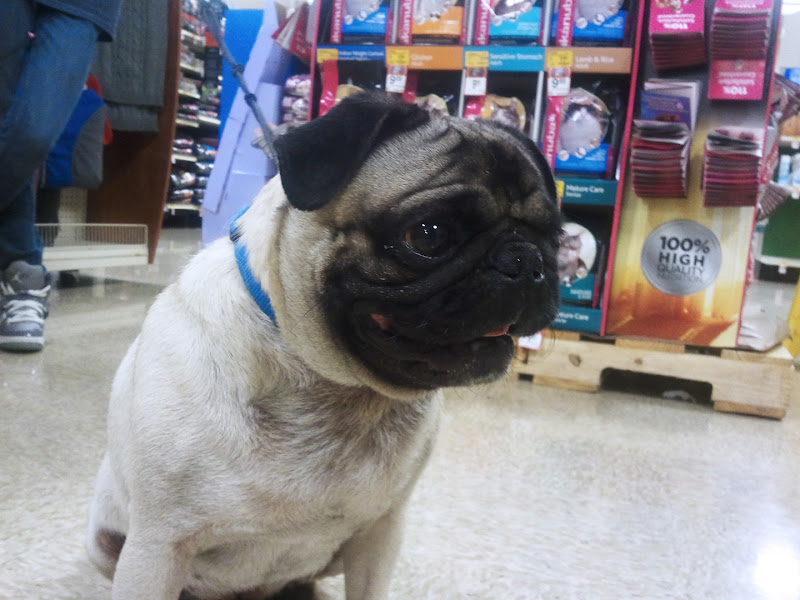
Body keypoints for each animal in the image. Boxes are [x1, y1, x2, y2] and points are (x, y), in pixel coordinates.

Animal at [86, 92, 561, 600]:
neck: (337, 390)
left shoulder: (381, 534)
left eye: (555, 235)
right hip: (106, 544)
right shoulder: (159, 546)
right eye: (428, 234)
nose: (524, 259)